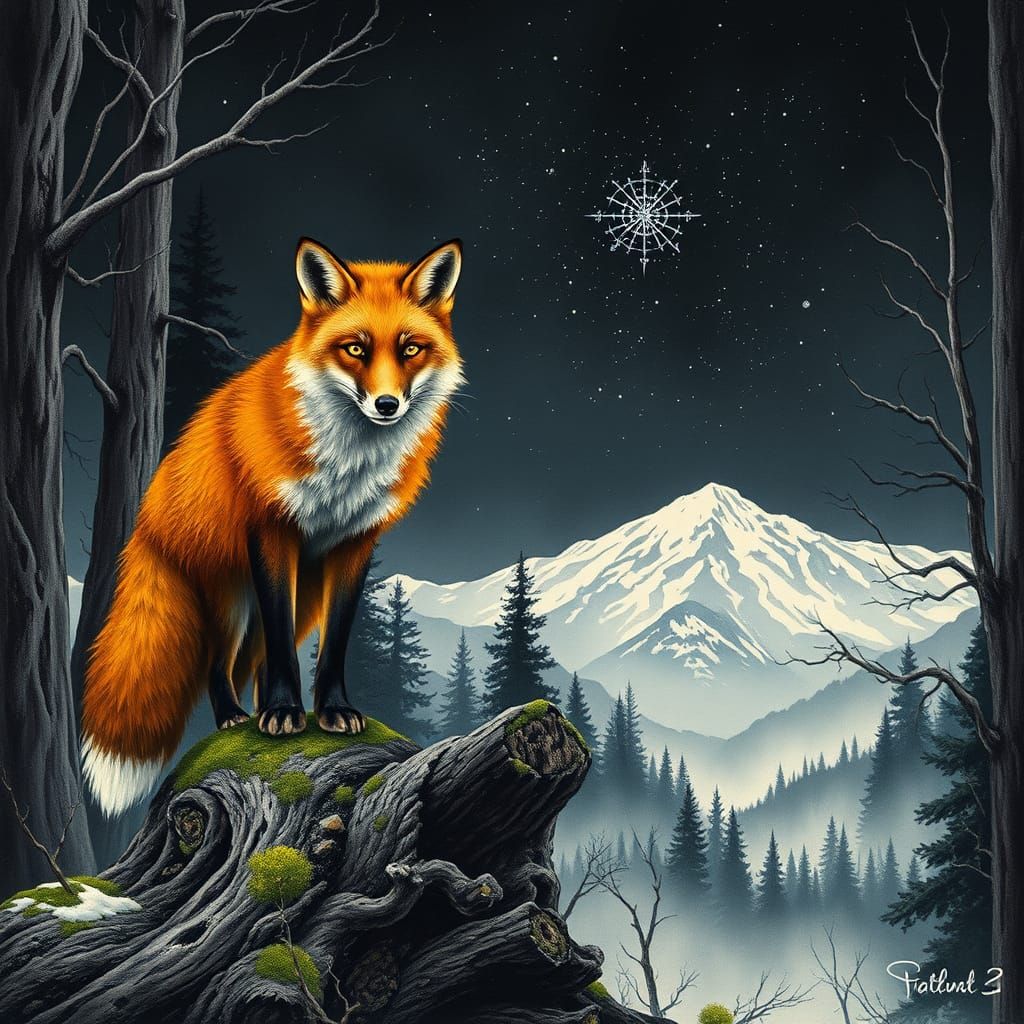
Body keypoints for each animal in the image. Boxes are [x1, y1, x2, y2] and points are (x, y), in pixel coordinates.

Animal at [81, 236, 464, 817]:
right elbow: (282, 649)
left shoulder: (355, 543)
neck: (347, 463)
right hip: (233, 599)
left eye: (410, 349)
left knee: (258, 657)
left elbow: (335, 642)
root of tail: (151, 513)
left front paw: (331, 710)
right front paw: (284, 713)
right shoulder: (272, 530)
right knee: (219, 663)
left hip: (300, 598)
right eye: (355, 349)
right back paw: (236, 717)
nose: (387, 404)